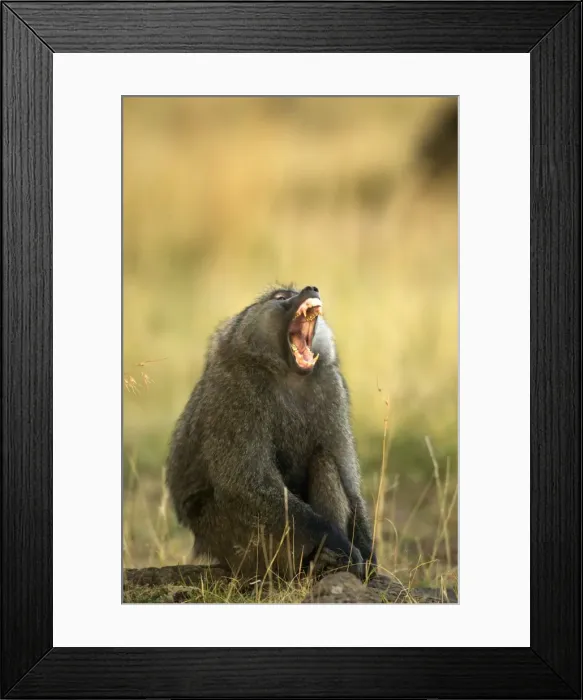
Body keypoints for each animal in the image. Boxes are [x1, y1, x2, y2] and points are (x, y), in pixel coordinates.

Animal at [166, 284, 376, 581]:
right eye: (281, 297)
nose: (312, 288)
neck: (287, 371)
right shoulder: (236, 391)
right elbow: (246, 484)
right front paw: (338, 542)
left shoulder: (331, 386)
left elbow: (349, 483)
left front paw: (367, 552)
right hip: (233, 542)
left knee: (324, 461)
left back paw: (325, 563)